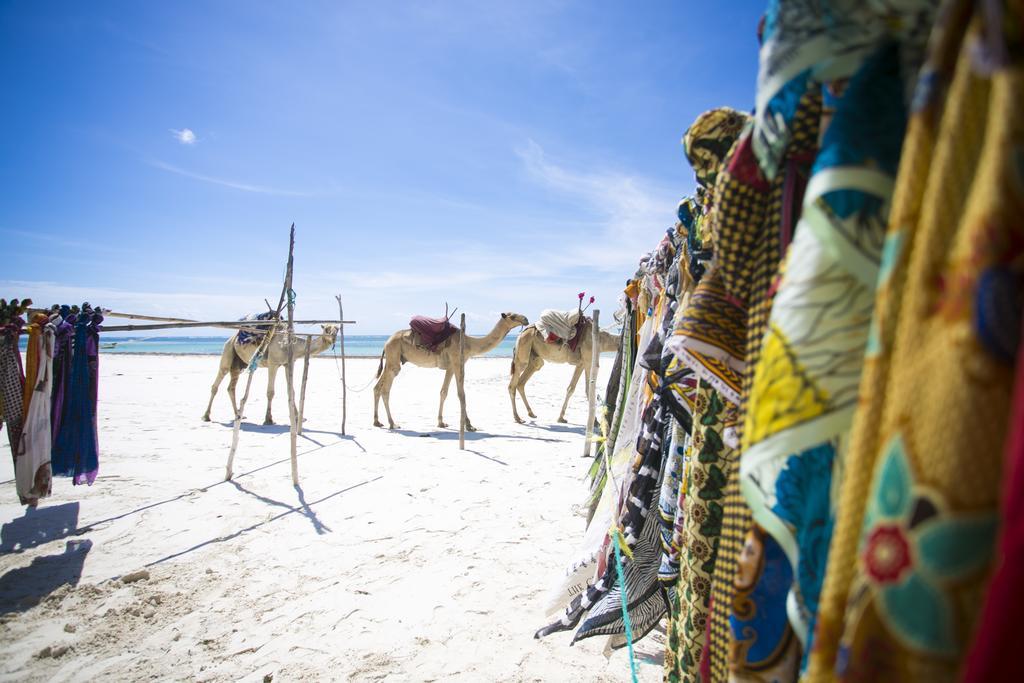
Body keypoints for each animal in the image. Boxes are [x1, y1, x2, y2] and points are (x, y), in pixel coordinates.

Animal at [200, 325, 339, 423]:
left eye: (337, 329)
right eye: (327, 329)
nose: (333, 336)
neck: (290, 344)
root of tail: (231, 339)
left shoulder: (288, 364)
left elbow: (291, 391)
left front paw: (297, 417)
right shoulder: (273, 364)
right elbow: (270, 392)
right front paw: (268, 419)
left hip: (238, 364)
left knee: (231, 387)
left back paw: (238, 415)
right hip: (228, 350)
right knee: (217, 383)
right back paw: (206, 416)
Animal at [372, 313, 528, 430]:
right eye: (512, 316)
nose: (525, 319)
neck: (469, 343)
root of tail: (386, 342)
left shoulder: (451, 367)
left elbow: (444, 392)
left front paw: (441, 422)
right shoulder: (457, 363)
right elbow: (461, 394)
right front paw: (469, 425)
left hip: (391, 360)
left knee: (377, 387)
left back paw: (377, 422)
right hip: (393, 359)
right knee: (385, 390)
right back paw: (393, 423)